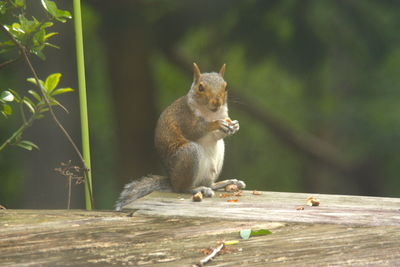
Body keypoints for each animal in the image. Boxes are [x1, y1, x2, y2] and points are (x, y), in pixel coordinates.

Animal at [115, 63, 245, 211]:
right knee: (182, 188)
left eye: (226, 86)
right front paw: (217, 123)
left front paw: (234, 126)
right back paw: (197, 189)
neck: (210, 113)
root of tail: (172, 180)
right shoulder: (184, 118)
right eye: (200, 87)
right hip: (188, 154)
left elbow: (217, 136)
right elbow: (195, 131)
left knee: (209, 183)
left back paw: (225, 183)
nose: (217, 102)